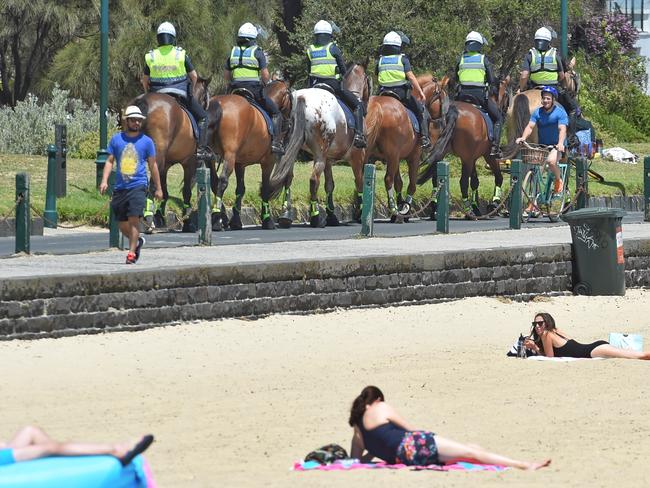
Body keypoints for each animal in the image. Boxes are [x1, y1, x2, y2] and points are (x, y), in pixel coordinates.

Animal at [130, 76, 213, 231]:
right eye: (206, 97)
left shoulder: (166, 165)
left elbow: (165, 192)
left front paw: (160, 218)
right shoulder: (189, 163)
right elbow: (186, 191)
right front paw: (187, 222)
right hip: (158, 156)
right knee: (151, 186)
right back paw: (147, 219)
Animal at [206, 80, 290, 231]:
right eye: (291, 97)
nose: (289, 122)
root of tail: (218, 103)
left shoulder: (240, 164)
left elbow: (240, 189)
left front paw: (236, 221)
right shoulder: (268, 163)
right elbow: (265, 188)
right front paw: (267, 220)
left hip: (211, 156)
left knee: (214, 182)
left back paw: (220, 217)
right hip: (229, 156)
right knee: (222, 181)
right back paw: (216, 219)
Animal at [416, 77, 512, 218]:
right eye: (506, 95)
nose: (504, 112)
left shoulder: (472, 158)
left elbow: (475, 181)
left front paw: (477, 207)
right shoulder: (486, 156)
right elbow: (497, 178)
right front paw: (493, 204)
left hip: (443, 154)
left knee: (436, 179)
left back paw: (435, 209)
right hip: (468, 158)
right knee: (463, 182)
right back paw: (468, 210)